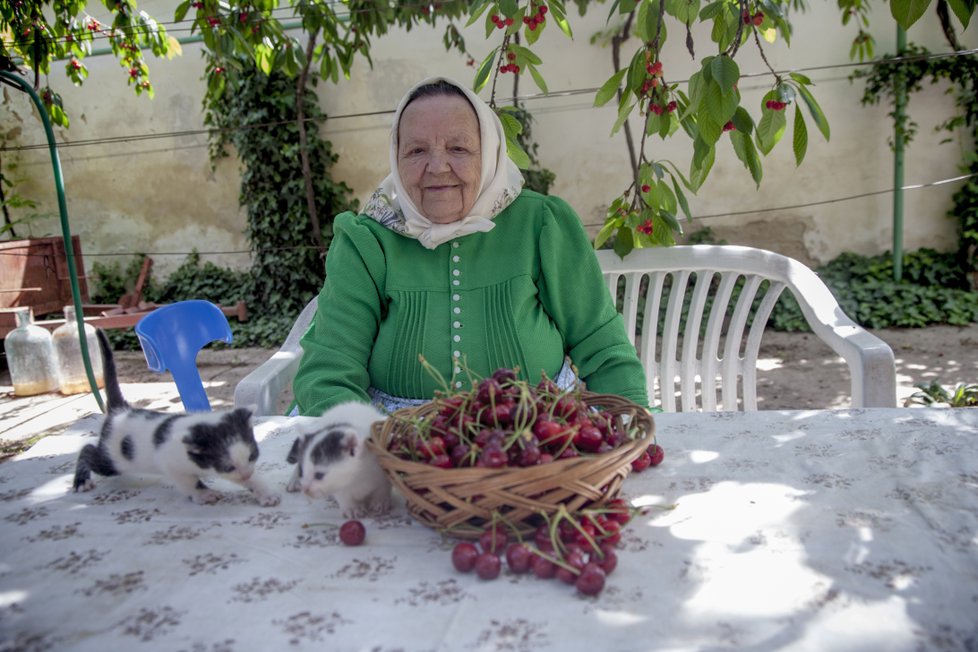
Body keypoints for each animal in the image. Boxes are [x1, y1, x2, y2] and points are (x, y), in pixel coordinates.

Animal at [71, 328, 278, 506]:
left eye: (253, 456)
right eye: (227, 466)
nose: (246, 474)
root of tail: (120, 411)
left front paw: (264, 492)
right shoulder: (169, 462)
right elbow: (188, 481)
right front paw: (204, 494)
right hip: (114, 459)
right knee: (88, 451)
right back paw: (81, 481)